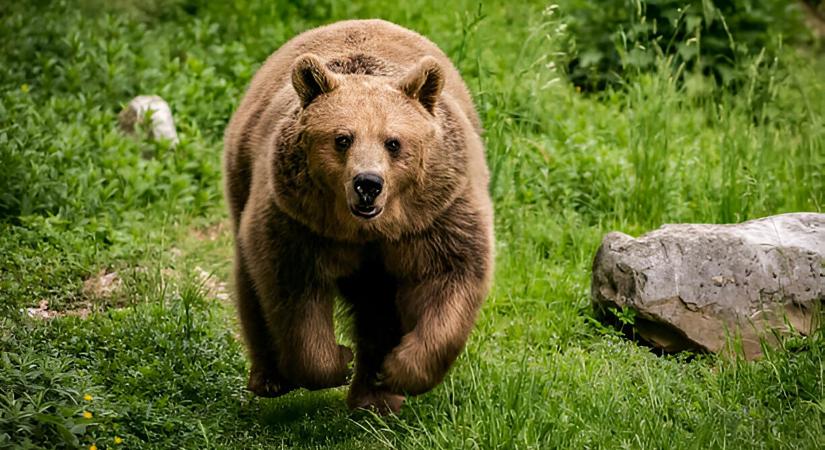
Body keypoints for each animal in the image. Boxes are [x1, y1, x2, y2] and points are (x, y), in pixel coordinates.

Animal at [222, 19, 492, 414]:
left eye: (393, 142)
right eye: (342, 139)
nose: (368, 184)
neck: (367, 230)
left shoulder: (434, 217)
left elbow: (450, 276)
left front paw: (397, 370)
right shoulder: (300, 221)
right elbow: (294, 294)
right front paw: (338, 360)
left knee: (379, 308)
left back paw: (375, 397)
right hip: (244, 178)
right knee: (252, 284)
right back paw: (271, 378)